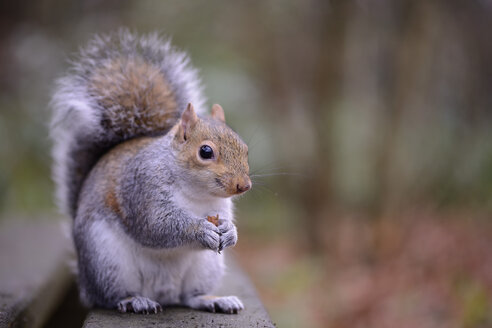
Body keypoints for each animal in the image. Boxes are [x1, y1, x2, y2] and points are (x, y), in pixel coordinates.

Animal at [51, 31, 250, 316]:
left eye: (244, 148)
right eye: (205, 151)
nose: (243, 186)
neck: (196, 193)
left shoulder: (219, 206)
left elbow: (224, 220)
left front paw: (230, 230)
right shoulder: (142, 188)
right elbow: (156, 224)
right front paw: (199, 230)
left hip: (205, 268)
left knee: (189, 297)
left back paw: (213, 300)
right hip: (107, 260)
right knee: (109, 297)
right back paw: (134, 301)